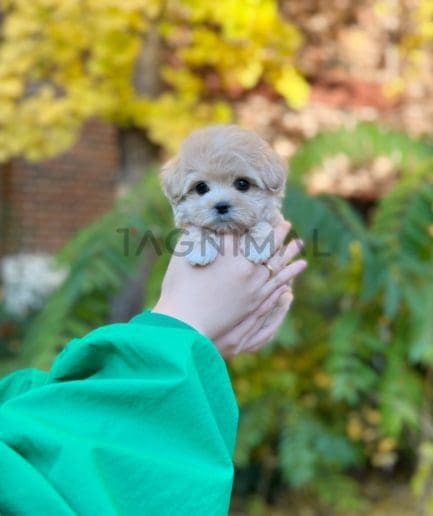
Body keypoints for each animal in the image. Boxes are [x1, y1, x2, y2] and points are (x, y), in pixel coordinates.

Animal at [160, 125, 286, 266]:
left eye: (242, 184)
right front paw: (200, 250)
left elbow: (261, 224)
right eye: (201, 187)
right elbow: (195, 228)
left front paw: (256, 246)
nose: (221, 206)